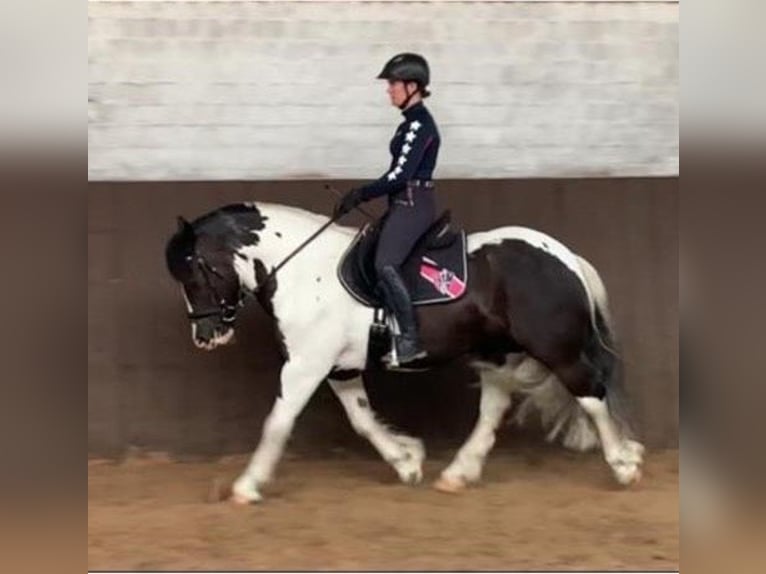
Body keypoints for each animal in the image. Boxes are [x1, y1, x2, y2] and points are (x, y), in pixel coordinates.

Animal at [165, 201, 644, 504]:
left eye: (194, 272)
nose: (206, 337)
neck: (303, 271)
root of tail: (564, 255)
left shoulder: (305, 367)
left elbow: (277, 423)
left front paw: (247, 486)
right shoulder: (338, 369)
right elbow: (361, 420)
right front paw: (407, 460)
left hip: (556, 349)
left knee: (591, 394)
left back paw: (624, 464)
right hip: (496, 352)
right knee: (494, 407)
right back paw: (457, 474)